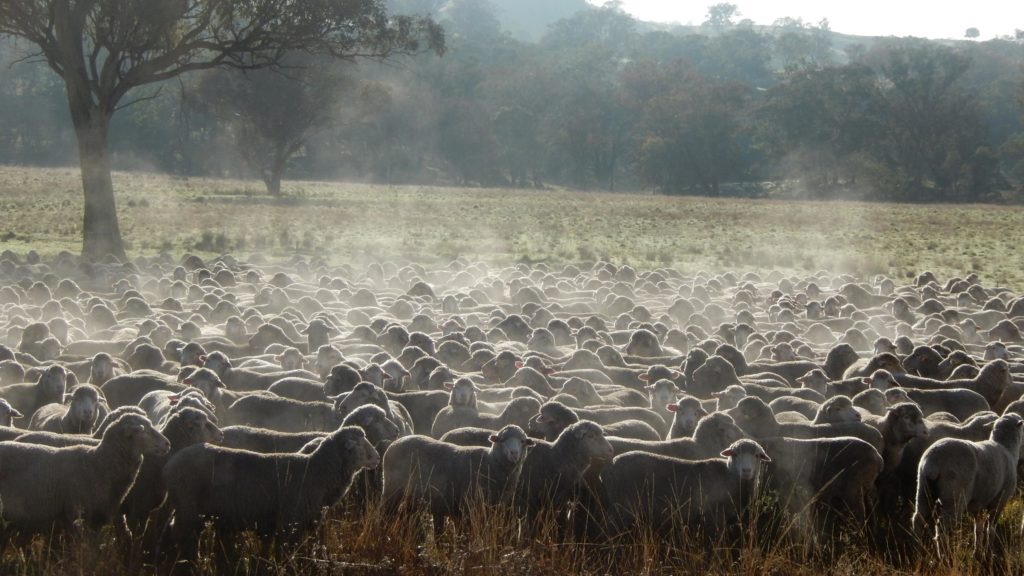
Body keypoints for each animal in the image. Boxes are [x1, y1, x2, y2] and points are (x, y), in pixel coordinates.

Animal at [163, 426, 379, 552]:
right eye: (359, 444)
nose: (377, 457)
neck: (315, 470)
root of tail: (171, 463)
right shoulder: (290, 522)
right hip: (187, 507)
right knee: (179, 534)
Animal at [381, 425, 533, 531]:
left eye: (522, 441)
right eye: (502, 440)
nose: (514, 453)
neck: (490, 463)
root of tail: (394, 444)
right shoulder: (468, 509)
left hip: (412, 499)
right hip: (392, 491)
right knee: (386, 515)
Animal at [600, 439, 770, 537]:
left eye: (757, 455)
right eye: (734, 454)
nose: (746, 471)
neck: (728, 475)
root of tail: (608, 468)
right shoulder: (715, 516)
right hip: (621, 506)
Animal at [912, 415, 1023, 543]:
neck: (1007, 447)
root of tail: (933, 461)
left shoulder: (978, 503)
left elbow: (978, 529)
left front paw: (978, 547)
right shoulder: (1000, 499)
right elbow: (990, 528)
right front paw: (989, 546)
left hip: (923, 488)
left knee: (918, 519)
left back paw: (918, 545)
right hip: (954, 497)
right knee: (941, 528)